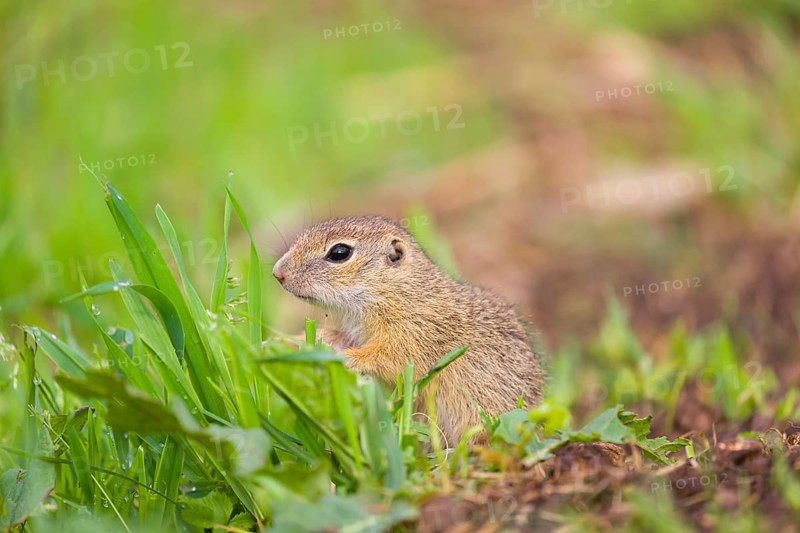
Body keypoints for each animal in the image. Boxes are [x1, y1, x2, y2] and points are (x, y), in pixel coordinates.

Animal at [272, 215, 544, 445]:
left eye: (339, 253)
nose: (278, 273)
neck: (400, 291)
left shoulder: (414, 334)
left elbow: (389, 358)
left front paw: (344, 358)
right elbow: (333, 337)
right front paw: (286, 342)